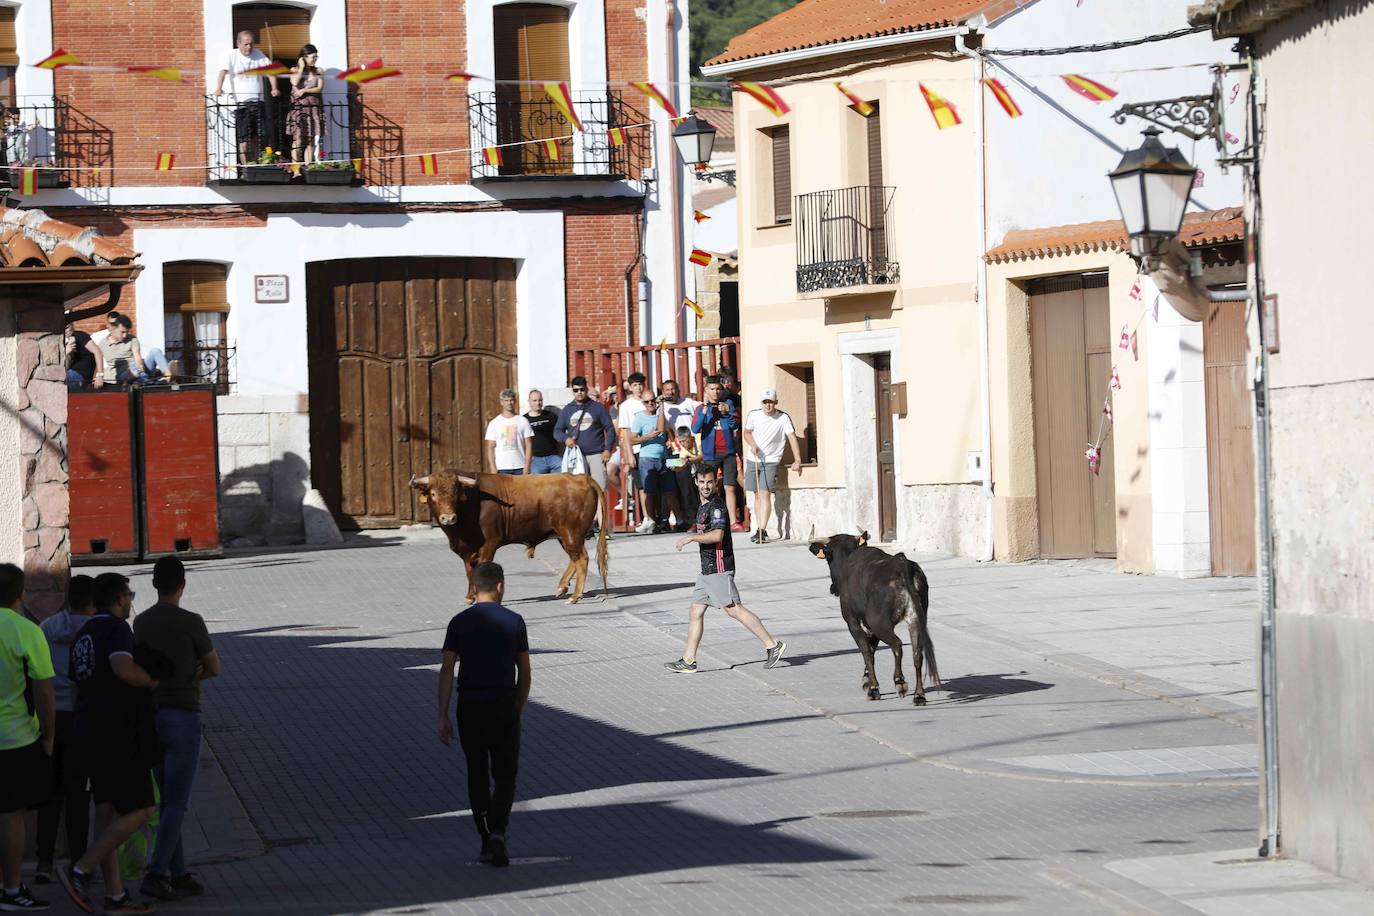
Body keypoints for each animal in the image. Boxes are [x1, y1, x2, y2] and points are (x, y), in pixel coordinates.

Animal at [409, 472, 610, 601]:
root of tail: (580, 477)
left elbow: (480, 569)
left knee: (581, 558)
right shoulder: (466, 551)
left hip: (570, 533)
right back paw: (562, 587)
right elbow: (469, 571)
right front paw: (469, 597)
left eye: (455, 494)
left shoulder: (489, 544)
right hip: (564, 535)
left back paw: (575, 596)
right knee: (575, 558)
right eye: (433, 493)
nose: (448, 518)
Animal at [807, 532, 939, 708]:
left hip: (880, 622)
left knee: (897, 645)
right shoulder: (870, 626)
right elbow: (872, 648)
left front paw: (873, 688)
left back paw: (899, 682)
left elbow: (866, 650)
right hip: (915, 619)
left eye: (829, 559)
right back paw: (919, 696)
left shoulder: (853, 622)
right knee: (917, 653)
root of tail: (901, 564)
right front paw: (866, 680)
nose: (833, 589)